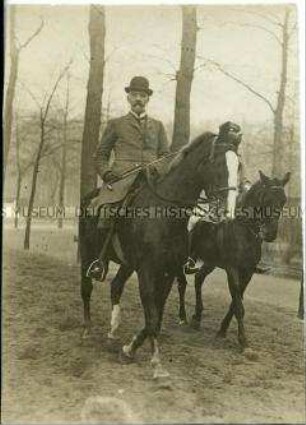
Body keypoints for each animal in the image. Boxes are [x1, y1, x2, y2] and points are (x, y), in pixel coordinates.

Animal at [177, 169, 290, 348]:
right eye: (266, 199)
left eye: (283, 200)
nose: (271, 233)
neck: (245, 231)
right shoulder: (232, 270)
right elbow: (238, 305)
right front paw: (243, 339)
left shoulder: (248, 273)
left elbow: (236, 301)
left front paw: (222, 330)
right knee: (181, 284)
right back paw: (182, 317)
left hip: (210, 262)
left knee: (198, 278)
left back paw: (197, 317)